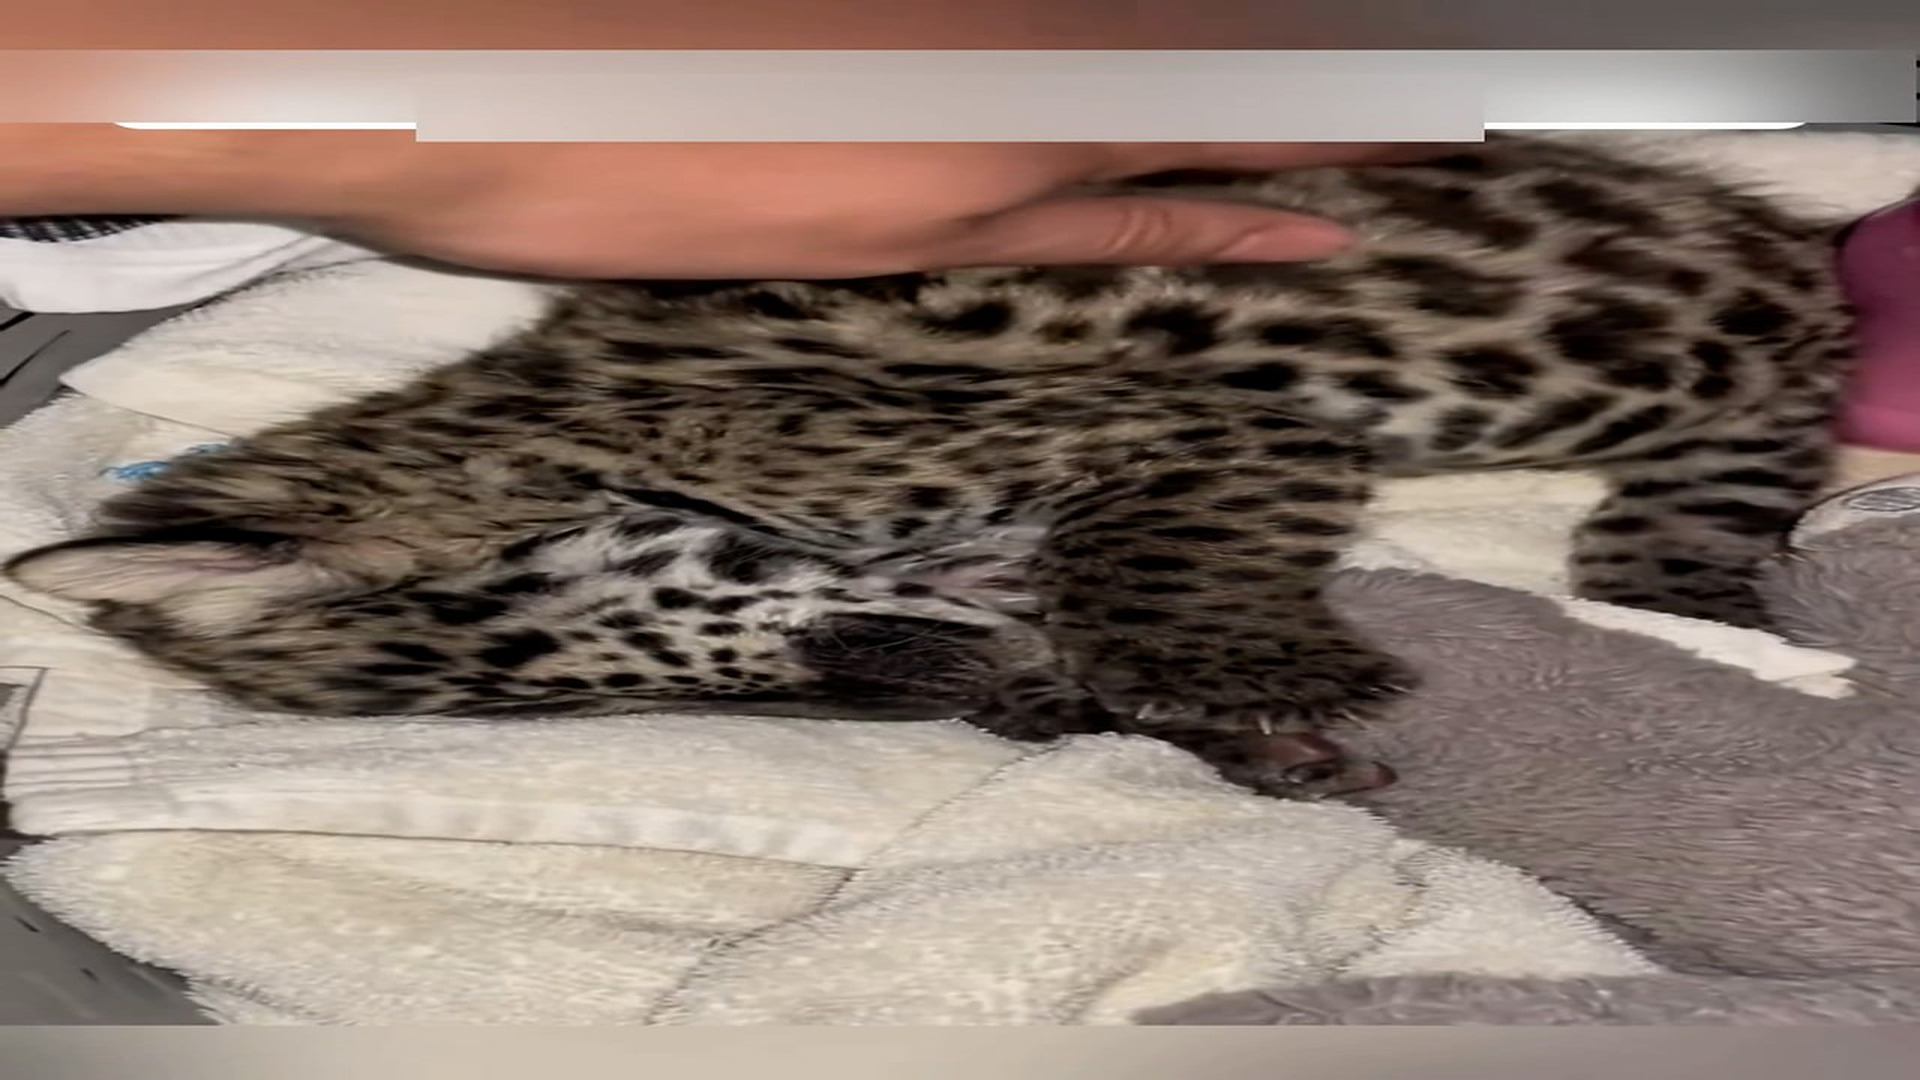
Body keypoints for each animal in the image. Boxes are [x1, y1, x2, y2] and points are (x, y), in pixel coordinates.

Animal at [3, 134, 1854, 799]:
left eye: (595, 668)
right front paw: (1237, 742)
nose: (912, 678)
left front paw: (1253, 673)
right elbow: (1068, 664)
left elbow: (1139, 578)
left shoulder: (1212, 430)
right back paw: (1700, 596)